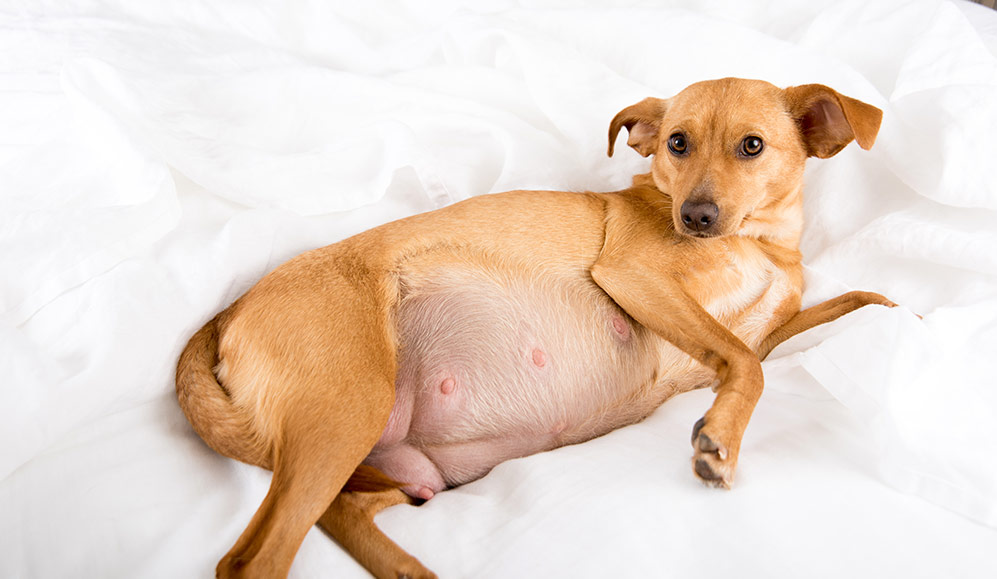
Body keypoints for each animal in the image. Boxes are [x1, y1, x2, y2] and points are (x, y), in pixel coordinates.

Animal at [173, 78, 896, 579]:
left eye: (752, 146)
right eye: (676, 143)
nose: (694, 216)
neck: (760, 243)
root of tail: (225, 313)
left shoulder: (768, 327)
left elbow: (827, 311)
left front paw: (891, 307)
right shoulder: (637, 277)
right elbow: (745, 365)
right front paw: (720, 438)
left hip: (389, 465)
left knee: (338, 513)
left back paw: (409, 569)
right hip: (348, 407)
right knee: (252, 559)